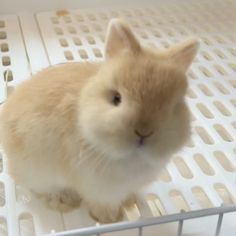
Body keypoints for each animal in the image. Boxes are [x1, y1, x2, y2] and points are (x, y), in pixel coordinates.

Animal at [0, 18, 199, 223]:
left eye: (175, 106)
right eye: (116, 98)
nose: (144, 132)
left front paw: (130, 203)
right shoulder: (100, 192)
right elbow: (103, 207)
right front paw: (111, 220)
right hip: (37, 173)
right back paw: (64, 201)